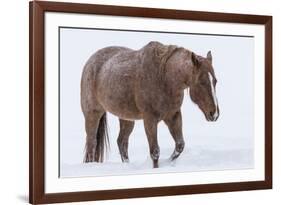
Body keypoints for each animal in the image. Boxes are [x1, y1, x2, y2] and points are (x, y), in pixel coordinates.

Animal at [80, 40, 218, 168]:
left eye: (215, 81)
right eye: (201, 82)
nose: (214, 113)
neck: (164, 77)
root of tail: (90, 61)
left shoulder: (173, 116)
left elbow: (180, 145)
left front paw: (169, 162)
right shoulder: (150, 119)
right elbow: (155, 151)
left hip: (126, 118)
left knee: (122, 142)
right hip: (92, 114)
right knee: (92, 143)